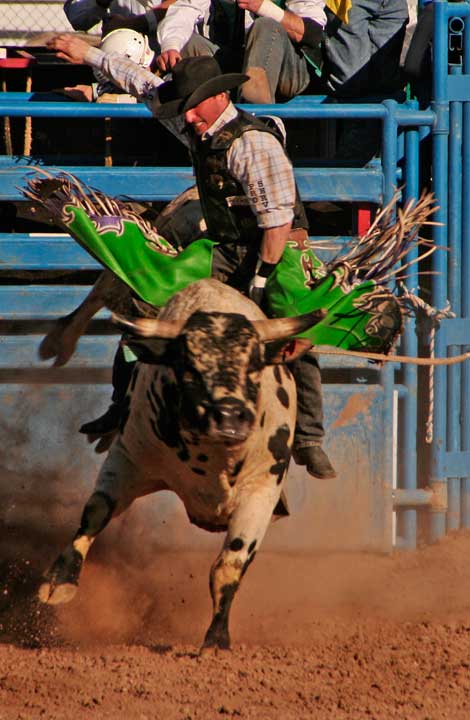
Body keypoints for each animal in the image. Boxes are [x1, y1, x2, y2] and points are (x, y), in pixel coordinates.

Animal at [38, 276, 324, 652]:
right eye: (189, 368)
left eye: (255, 364)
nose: (229, 417)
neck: (214, 458)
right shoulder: (127, 458)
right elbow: (95, 513)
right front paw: (58, 584)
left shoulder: (263, 489)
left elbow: (229, 565)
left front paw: (216, 640)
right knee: (101, 290)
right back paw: (58, 341)